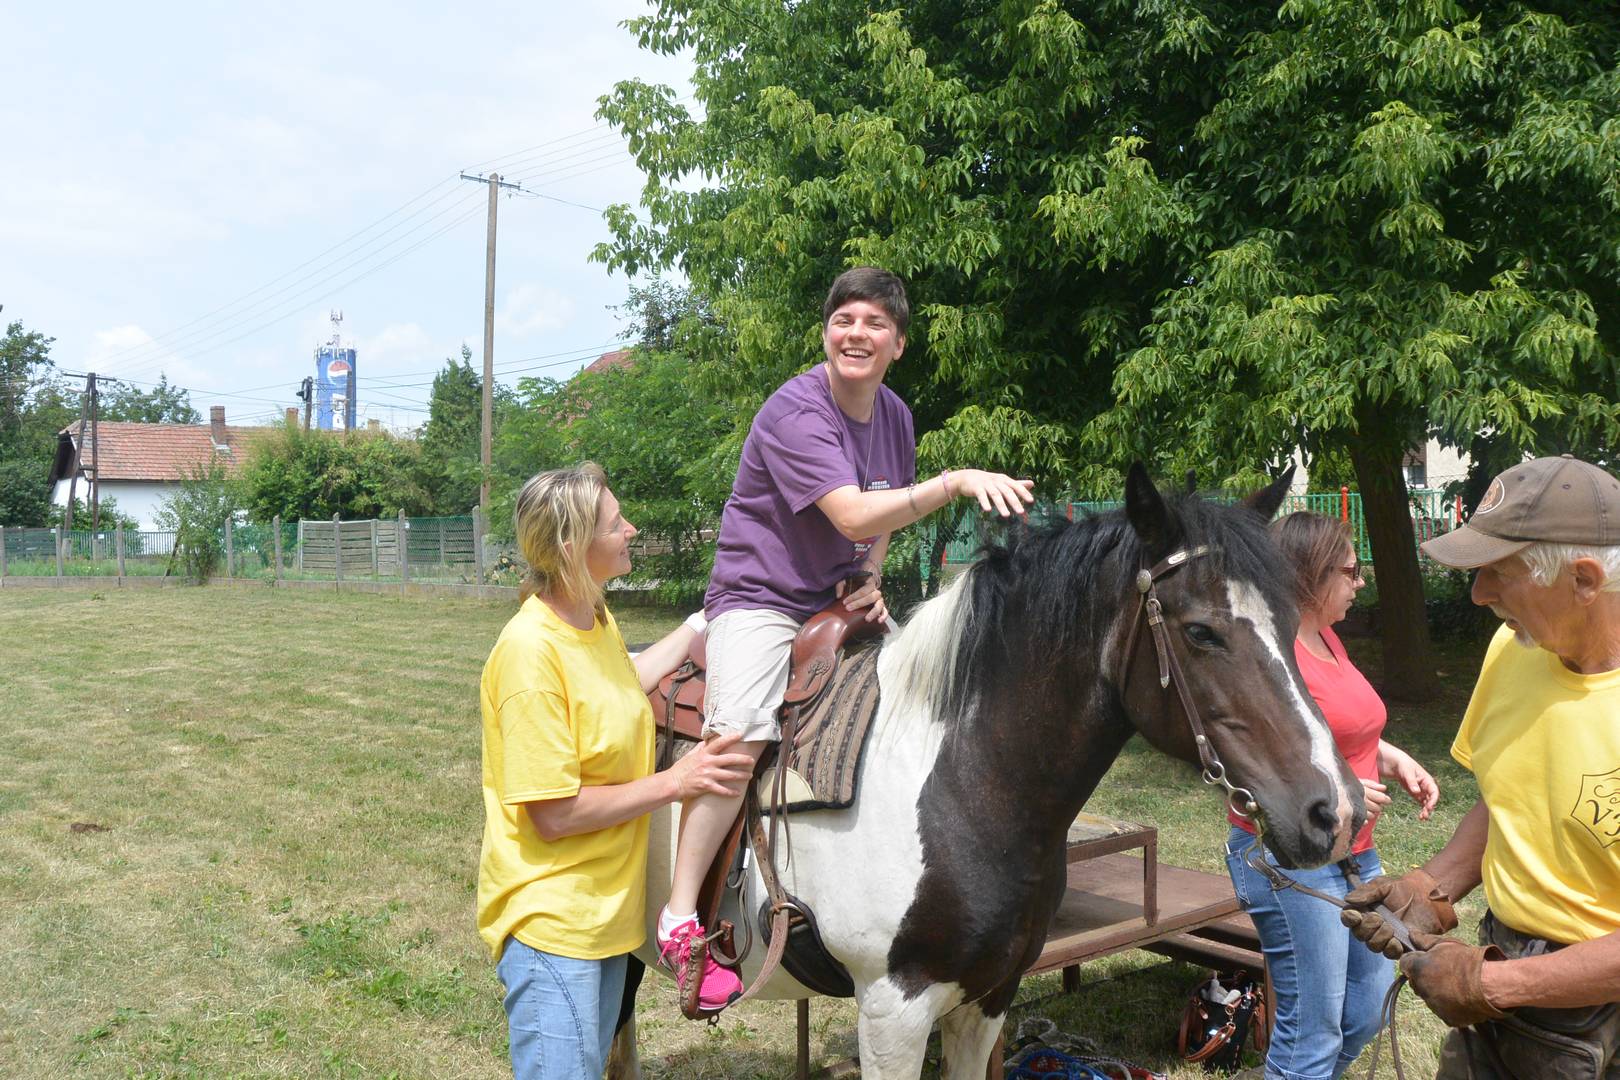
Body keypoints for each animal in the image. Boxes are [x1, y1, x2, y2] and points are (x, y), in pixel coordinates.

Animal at [610, 464, 1365, 1079]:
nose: (1332, 810)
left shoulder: (987, 1000)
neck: (963, 785)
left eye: (1294, 622)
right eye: (1201, 631)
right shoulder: (892, 1012)